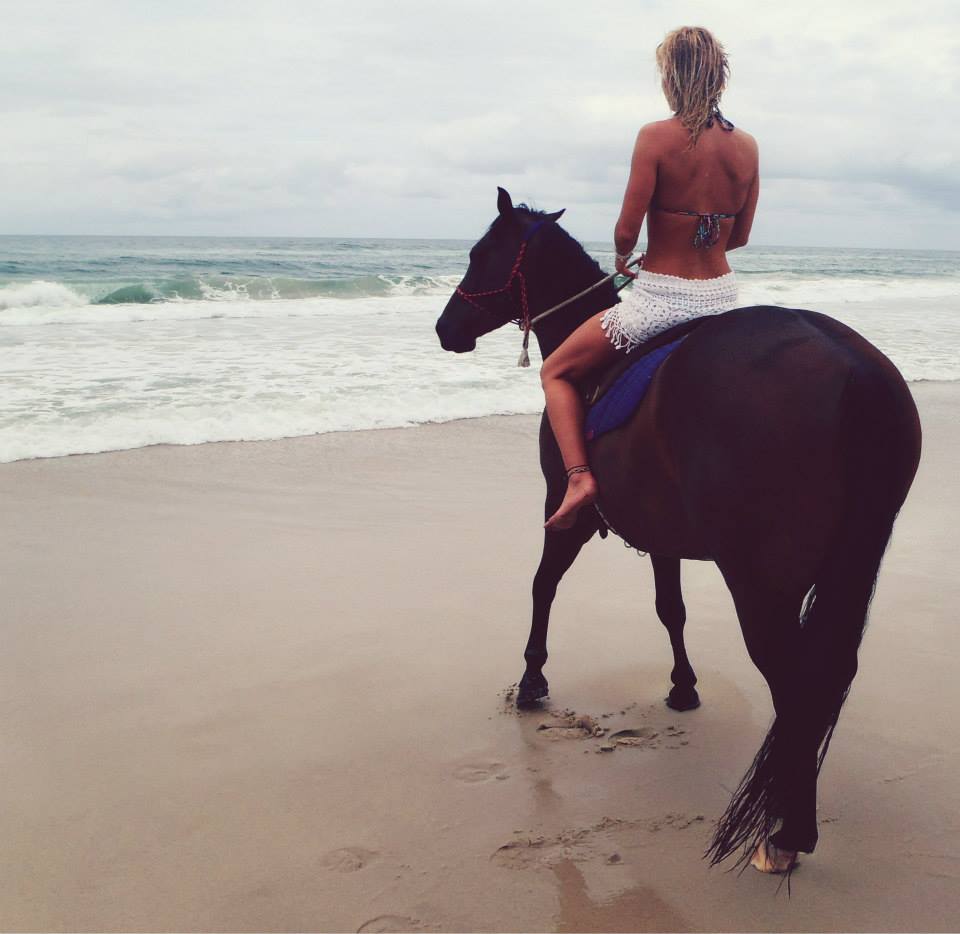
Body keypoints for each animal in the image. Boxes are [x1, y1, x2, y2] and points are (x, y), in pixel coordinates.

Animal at [434, 187, 922, 869]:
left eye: (481, 254)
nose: (445, 328)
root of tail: (853, 367)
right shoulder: (660, 530)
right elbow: (672, 609)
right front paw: (683, 686)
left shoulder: (567, 510)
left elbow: (542, 586)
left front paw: (532, 678)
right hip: (846, 565)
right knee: (826, 676)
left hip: (760, 583)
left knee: (795, 682)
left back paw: (787, 830)